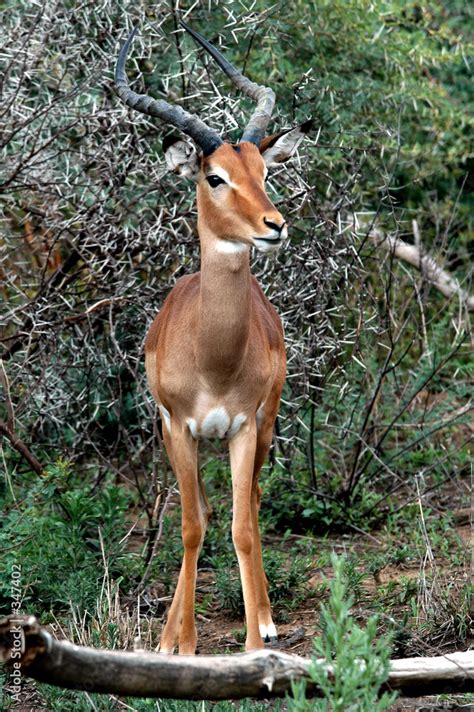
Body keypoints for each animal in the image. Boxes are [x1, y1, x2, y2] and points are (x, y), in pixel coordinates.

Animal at [115, 21, 311, 654]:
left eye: (265, 173)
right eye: (215, 176)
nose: (275, 226)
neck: (214, 358)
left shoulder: (245, 426)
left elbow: (242, 526)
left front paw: (254, 647)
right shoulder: (179, 426)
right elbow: (190, 527)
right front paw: (183, 646)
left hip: (265, 425)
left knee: (248, 500)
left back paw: (267, 619)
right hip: (180, 438)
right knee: (196, 510)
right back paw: (169, 635)